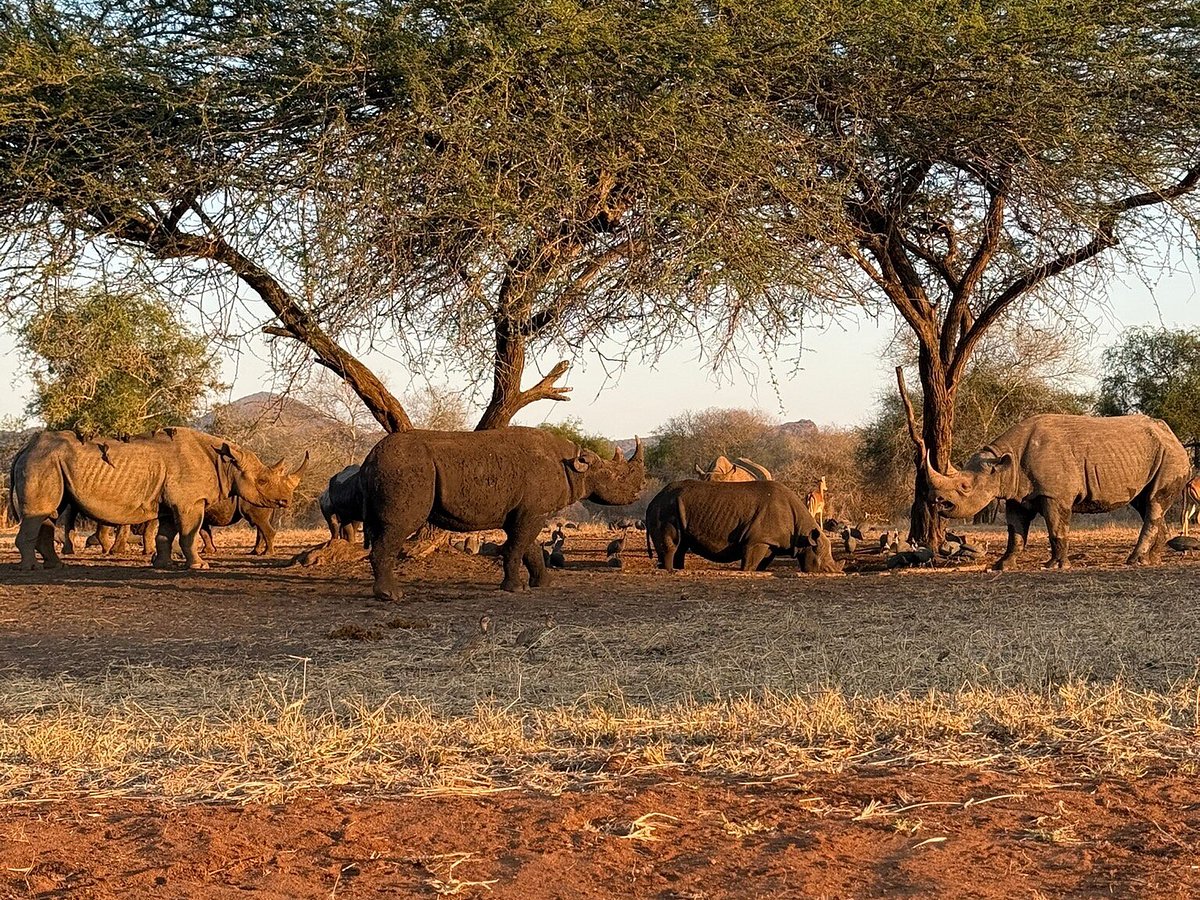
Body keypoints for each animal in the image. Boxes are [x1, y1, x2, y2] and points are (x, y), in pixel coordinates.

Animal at [9, 428, 296, 571]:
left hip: (48, 462)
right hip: (43, 462)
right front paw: (200, 566)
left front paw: (163, 564)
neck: (224, 462)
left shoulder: (173, 505)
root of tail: (25, 449)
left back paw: (55, 566)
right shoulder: (190, 502)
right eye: (263, 481)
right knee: (41, 512)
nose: (286, 501)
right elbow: (189, 533)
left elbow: (166, 534)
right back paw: (31, 569)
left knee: (50, 512)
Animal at [360, 428, 645, 599]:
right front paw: (515, 589)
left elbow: (529, 547)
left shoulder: (525, 512)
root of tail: (369, 458)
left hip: (394, 467)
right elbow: (517, 547)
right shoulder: (532, 512)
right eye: (616, 477)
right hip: (406, 469)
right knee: (399, 527)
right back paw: (392, 596)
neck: (573, 465)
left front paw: (544, 584)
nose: (641, 487)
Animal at [645, 479, 841, 574]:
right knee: (672, 547)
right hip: (666, 509)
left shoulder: (769, 542)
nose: (834, 573)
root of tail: (653, 500)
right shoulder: (757, 541)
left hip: (672, 507)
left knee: (681, 547)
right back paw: (671, 571)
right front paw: (745, 571)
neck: (803, 532)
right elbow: (749, 565)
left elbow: (760, 565)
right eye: (823, 565)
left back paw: (676, 569)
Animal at [924, 414, 1190, 570]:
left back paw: (1134, 561)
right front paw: (1002, 565)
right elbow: (1015, 532)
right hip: (1153, 455)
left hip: (1171, 457)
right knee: (1146, 503)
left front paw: (1055, 565)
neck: (1004, 462)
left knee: (1153, 503)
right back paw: (1152, 560)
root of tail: (1175, 437)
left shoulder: (1055, 495)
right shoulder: (1016, 495)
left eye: (964, 487)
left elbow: (1056, 528)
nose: (936, 500)